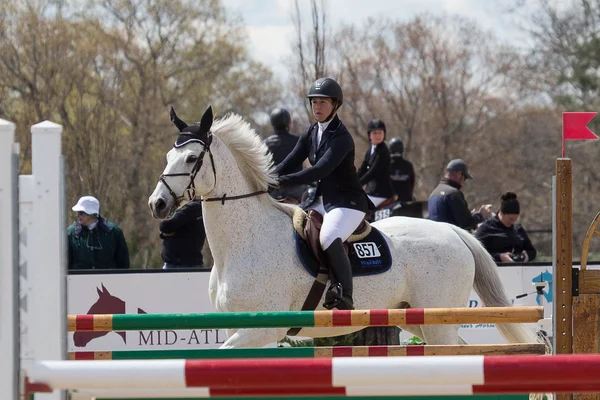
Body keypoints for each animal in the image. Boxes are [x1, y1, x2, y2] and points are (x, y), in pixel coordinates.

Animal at [148, 108, 540, 348]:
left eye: (192, 158)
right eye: (168, 156)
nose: (158, 204)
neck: (243, 242)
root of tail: (452, 231)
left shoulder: (263, 328)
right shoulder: (235, 324)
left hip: (436, 320)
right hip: (418, 319)